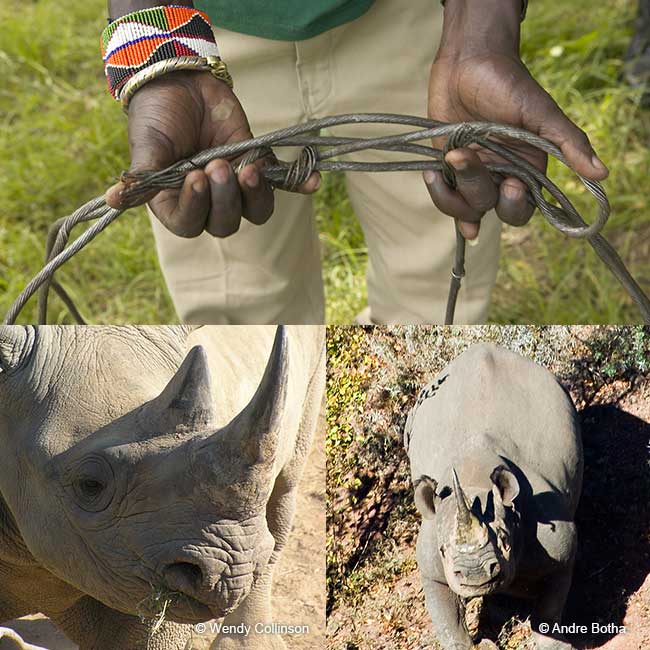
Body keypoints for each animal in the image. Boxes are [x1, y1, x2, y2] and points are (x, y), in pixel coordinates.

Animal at [404, 342, 584, 644]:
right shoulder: (431, 563)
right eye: (443, 550)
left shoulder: (560, 548)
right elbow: (448, 621)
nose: (475, 574)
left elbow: (550, 608)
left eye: (504, 540)